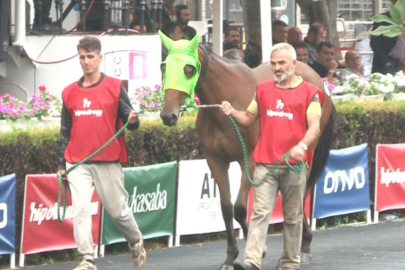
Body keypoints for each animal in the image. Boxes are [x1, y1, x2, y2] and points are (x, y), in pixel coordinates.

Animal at [158, 34, 334, 268]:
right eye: (164, 66)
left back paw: (303, 245)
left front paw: (262, 248)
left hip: (309, 146)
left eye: (189, 69)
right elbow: (226, 207)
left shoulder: (248, 159)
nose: (167, 115)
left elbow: (241, 207)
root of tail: (319, 80)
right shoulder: (216, 161)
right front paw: (231, 256)